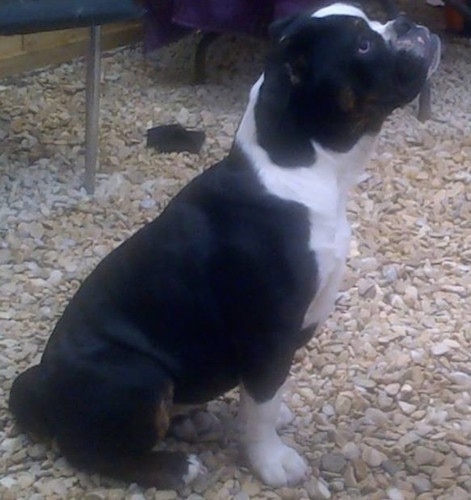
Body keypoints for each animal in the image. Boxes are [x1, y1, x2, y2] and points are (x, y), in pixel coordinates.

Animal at [9, 2, 440, 488]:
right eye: (363, 45)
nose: (407, 22)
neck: (306, 167)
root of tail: (42, 390)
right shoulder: (269, 333)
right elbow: (263, 400)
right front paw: (271, 460)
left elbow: (266, 395)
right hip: (140, 374)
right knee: (91, 451)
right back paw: (174, 467)